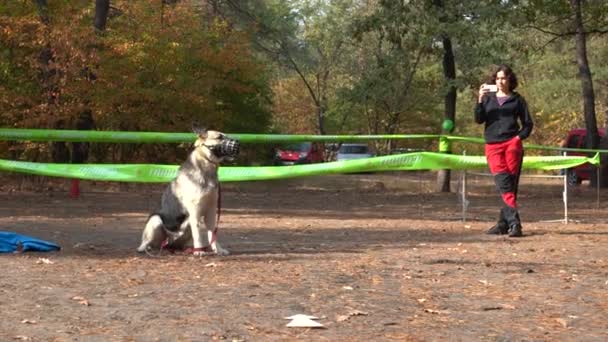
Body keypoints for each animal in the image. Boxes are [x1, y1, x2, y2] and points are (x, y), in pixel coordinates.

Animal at [138, 125, 240, 256]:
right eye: (219, 137)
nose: (238, 142)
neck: (206, 169)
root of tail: (170, 244)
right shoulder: (195, 212)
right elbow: (198, 235)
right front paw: (199, 251)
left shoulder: (211, 212)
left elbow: (213, 234)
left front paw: (218, 249)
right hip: (155, 220)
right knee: (146, 242)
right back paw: (146, 248)